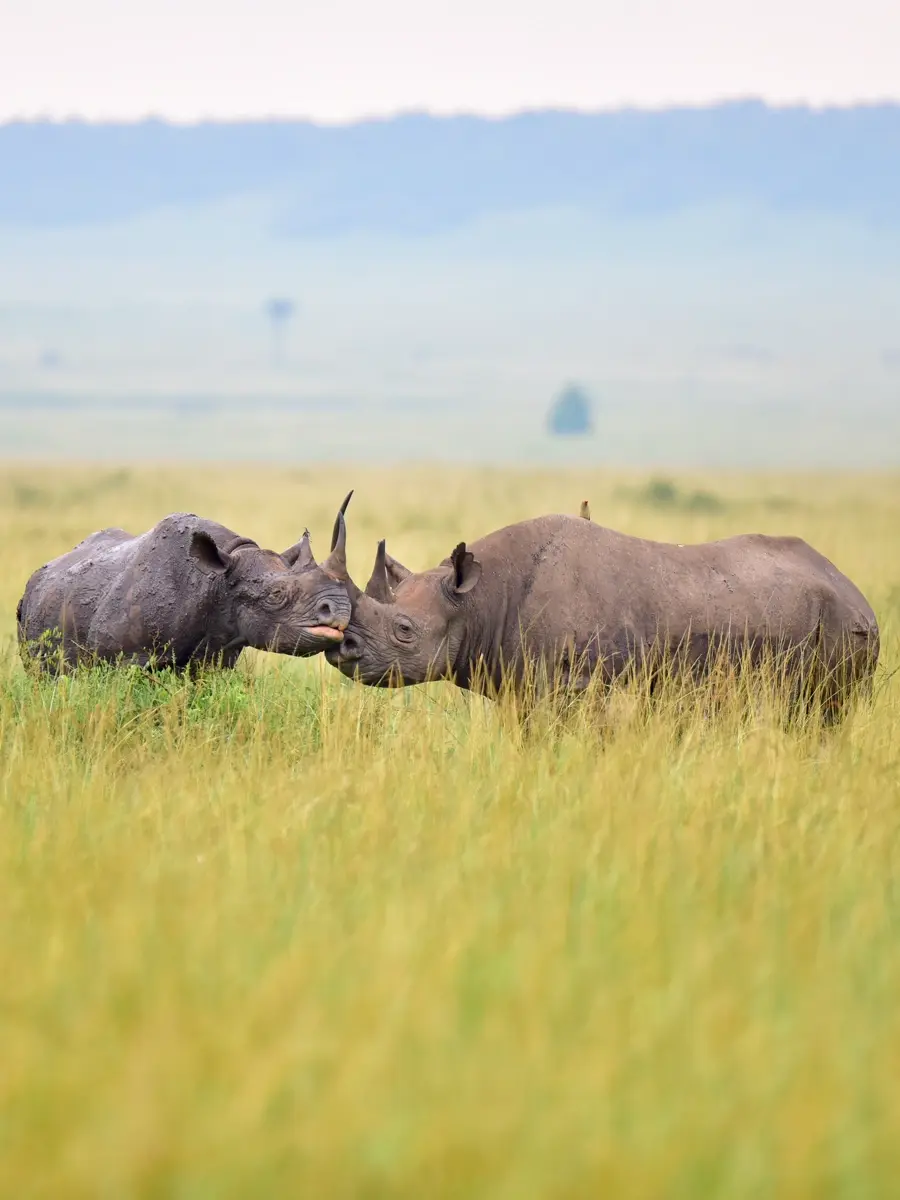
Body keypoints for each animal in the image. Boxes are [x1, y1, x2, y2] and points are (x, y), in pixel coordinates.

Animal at [323, 512, 880, 717]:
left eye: (404, 631)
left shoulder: (571, 687)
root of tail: (857, 594)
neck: (477, 599)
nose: (342, 649)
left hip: (842, 626)